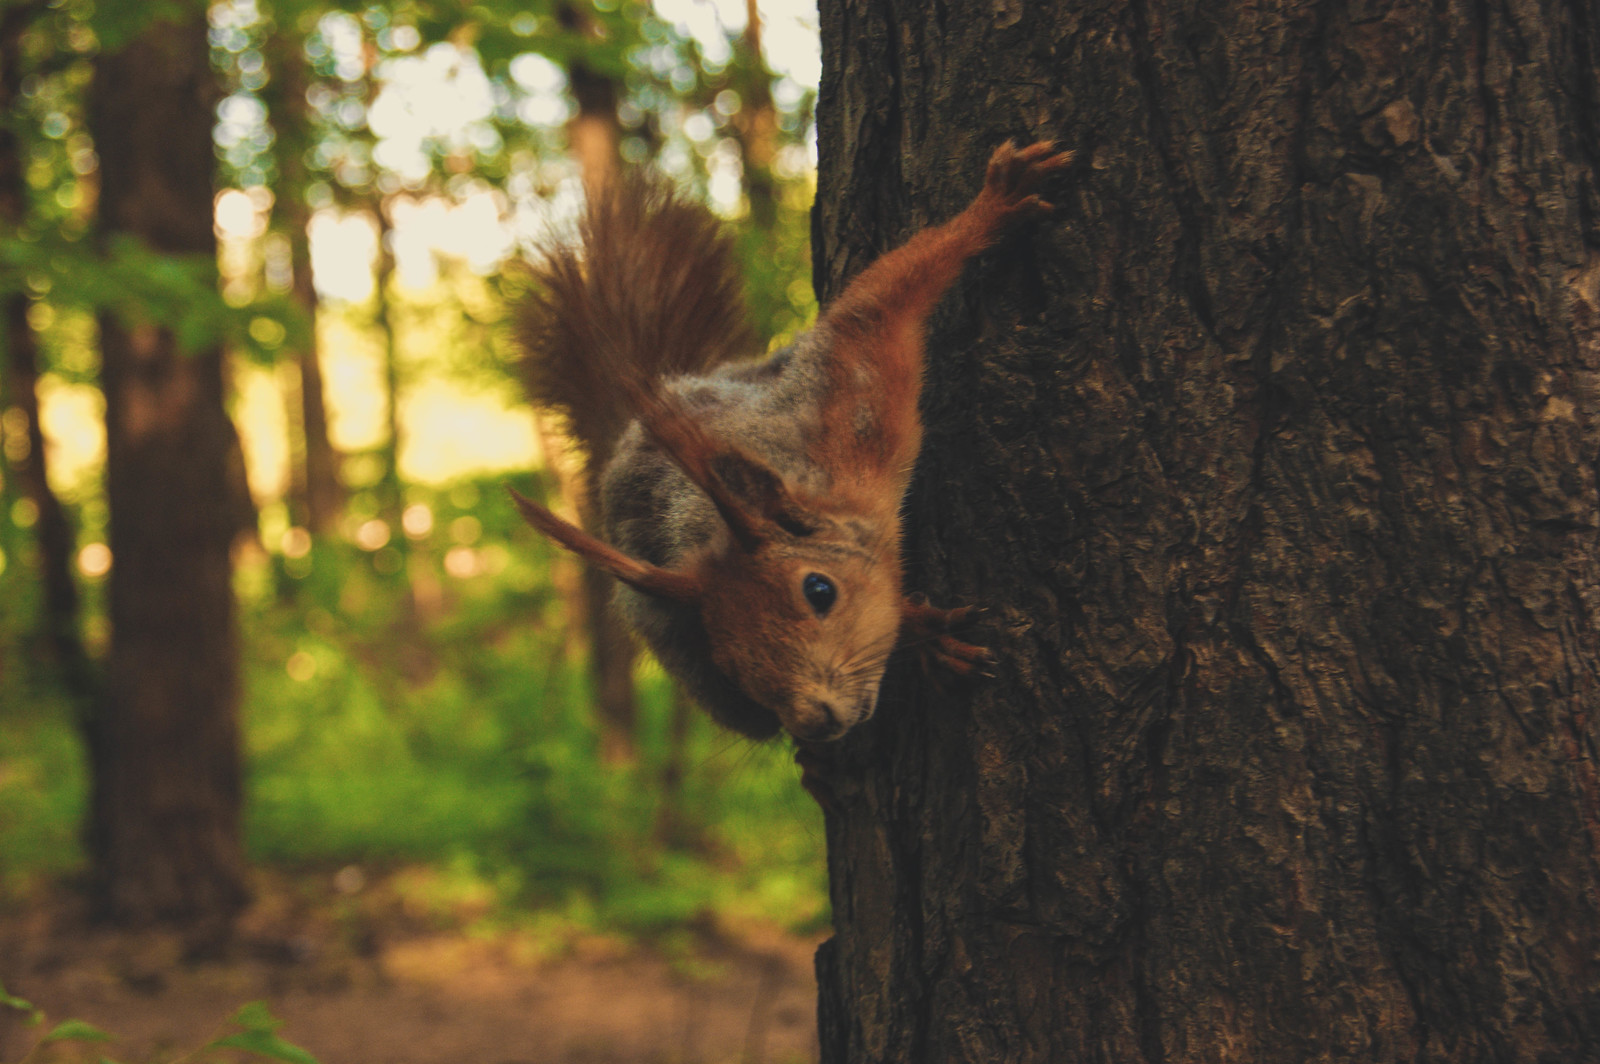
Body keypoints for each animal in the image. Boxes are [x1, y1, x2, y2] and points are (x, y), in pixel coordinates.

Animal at [505, 136, 1068, 742]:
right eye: (727, 661)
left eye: (820, 591)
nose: (812, 723)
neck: (831, 490)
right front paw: (926, 633)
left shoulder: (852, 400)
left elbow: (883, 294)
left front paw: (995, 203)